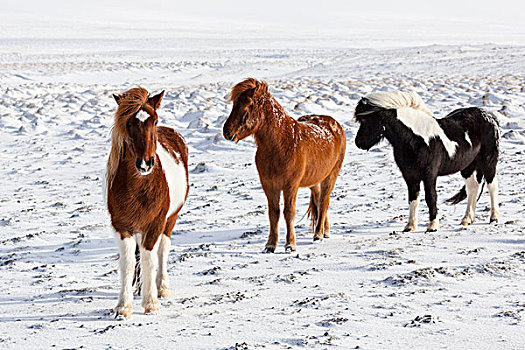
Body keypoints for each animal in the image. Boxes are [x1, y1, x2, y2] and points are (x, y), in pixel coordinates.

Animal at [106, 87, 188, 320]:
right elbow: (128, 263)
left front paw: (151, 303)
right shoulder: (122, 227)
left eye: (155, 120)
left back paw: (162, 288)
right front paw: (123, 307)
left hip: (170, 221)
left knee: (162, 251)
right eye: (128, 123)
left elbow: (149, 260)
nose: (145, 164)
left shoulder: (154, 225)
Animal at [223, 78, 346, 254]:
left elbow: (289, 213)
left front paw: (290, 245)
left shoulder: (290, 185)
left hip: (330, 176)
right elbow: (273, 213)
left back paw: (318, 235)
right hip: (315, 180)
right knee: (318, 200)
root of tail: (335, 125)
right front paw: (270, 245)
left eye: (248, 105)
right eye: (234, 104)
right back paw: (324, 231)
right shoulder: (269, 185)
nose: (227, 132)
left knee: (324, 202)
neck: (280, 144)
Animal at [354, 91, 498, 231]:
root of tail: (489, 116)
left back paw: (494, 218)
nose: (359, 143)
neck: (416, 140)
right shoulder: (410, 176)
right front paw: (410, 226)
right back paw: (467, 219)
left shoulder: (429, 174)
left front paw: (432, 226)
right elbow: (413, 198)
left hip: (488, 161)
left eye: (367, 119)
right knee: (473, 187)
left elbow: (431, 197)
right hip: (468, 167)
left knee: (491, 185)